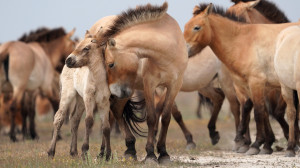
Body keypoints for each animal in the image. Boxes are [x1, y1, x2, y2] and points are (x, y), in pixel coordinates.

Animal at [101, 1, 188, 163]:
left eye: (110, 64)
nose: (112, 90)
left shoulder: (174, 86)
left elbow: (165, 118)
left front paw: (163, 153)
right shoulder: (150, 85)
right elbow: (151, 118)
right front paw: (150, 154)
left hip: (128, 91)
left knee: (116, 110)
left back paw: (130, 149)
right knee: (109, 117)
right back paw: (104, 153)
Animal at [184, 2, 300, 156]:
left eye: (196, 27)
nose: (183, 51)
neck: (245, 42)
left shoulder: (257, 83)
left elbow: (258, 111)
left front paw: (256, 144)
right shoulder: (247, 86)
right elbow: (255, 110)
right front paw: (259, 143)